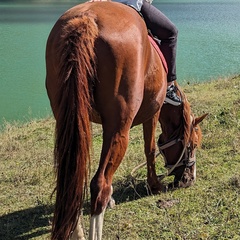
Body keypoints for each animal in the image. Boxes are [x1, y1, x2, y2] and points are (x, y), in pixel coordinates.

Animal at [45, 1, 206, 238]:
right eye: (193, 144)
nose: (189, 180)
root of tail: (86, 20)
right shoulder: (153, 113)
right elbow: (150, 149)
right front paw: (155, 185)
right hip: (120, 128)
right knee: (99, 184)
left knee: (72, 179)